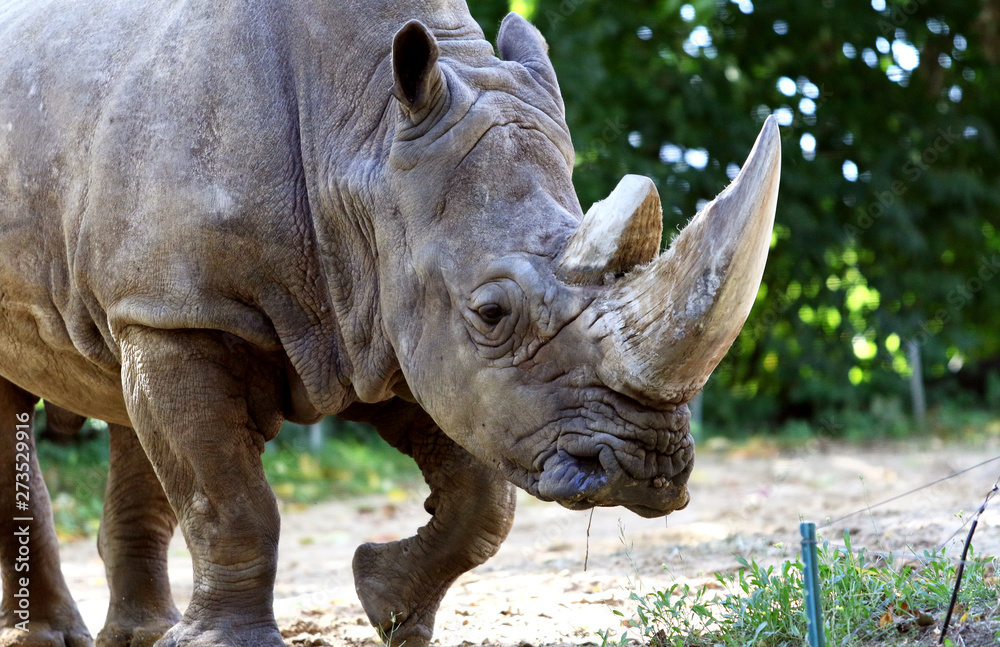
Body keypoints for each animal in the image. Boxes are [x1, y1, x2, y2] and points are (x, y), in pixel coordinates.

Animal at [0, 0, 780, 645]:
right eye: (492, 313)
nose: (646, 470)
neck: (364, 139)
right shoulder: (184, 312)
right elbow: (230, 502)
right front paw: (225, 645)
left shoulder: (385, 317)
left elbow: (484, 501)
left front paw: (388, 606)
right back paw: (56, 639)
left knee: (117, 394)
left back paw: (138, 637)